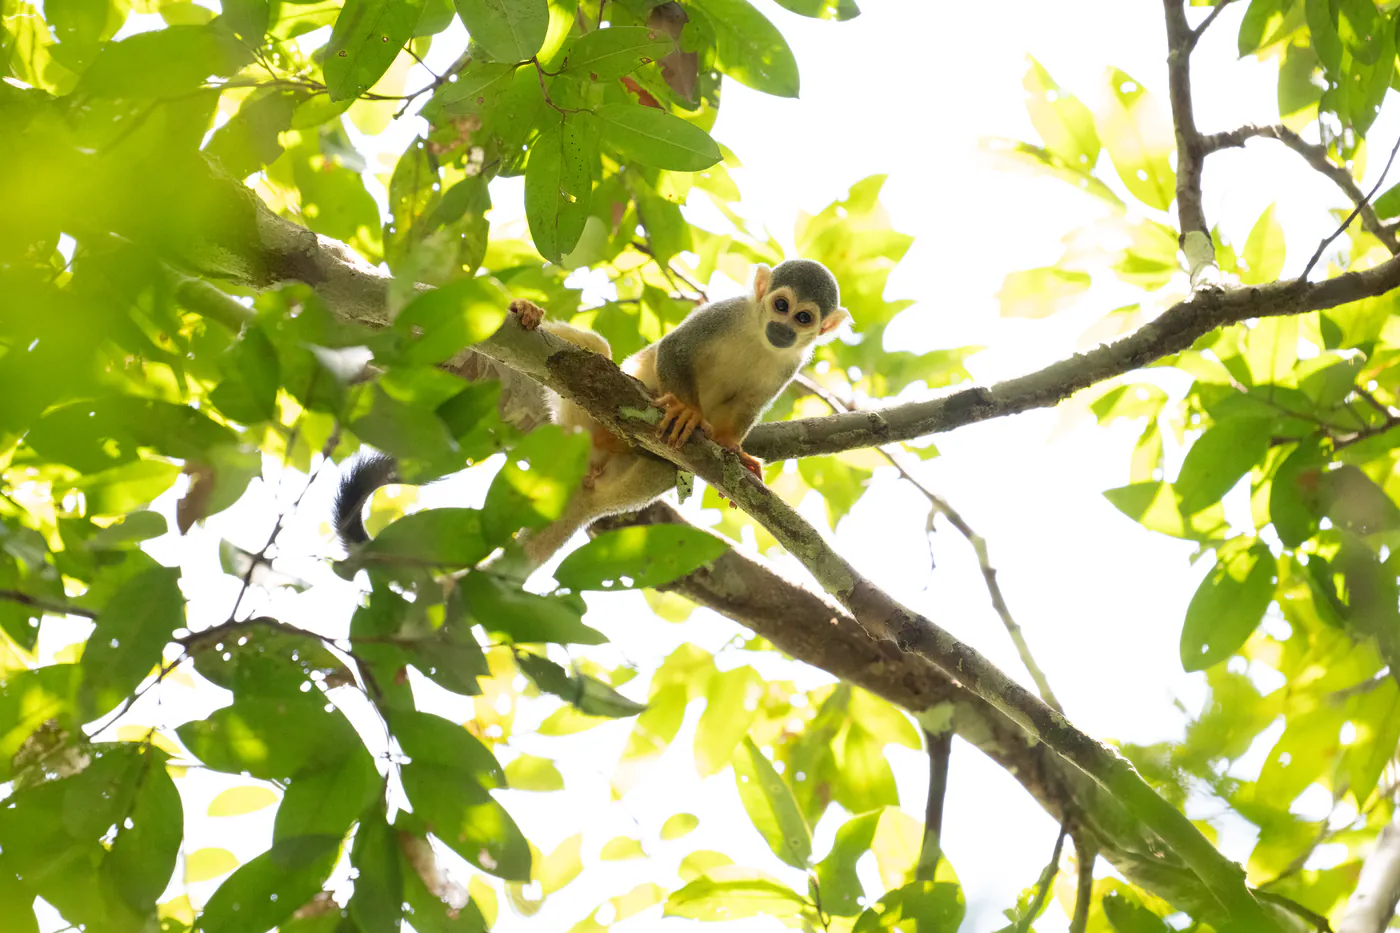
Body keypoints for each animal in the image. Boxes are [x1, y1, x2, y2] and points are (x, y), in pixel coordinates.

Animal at [332, 259, 849, 569]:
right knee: (595, 351)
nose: (783, 328)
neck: (760, 338)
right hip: (574, 416)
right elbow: (675, 350)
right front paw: (685, 407)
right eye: (780, 304)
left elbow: (744, 412)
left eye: (804, 318)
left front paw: (733, 450)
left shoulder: (790, 365)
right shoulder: (723, 315)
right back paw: (528, 313)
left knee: (666, 467)